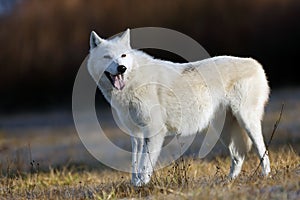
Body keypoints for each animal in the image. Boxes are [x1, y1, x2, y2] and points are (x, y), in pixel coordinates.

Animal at [86, 28, 270, 187]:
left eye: (123, 55)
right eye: (107, 56)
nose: (121, 68)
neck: (133, 82)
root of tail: (255, 63)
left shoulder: (154, 131)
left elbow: (145, 165)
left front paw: (142, 186)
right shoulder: (136, 134)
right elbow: (135, 164)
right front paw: (135, 186)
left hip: (247, 122)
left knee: (263, 151)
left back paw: (265, 177)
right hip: (223, 130)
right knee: (238, 157)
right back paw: (228, 182)